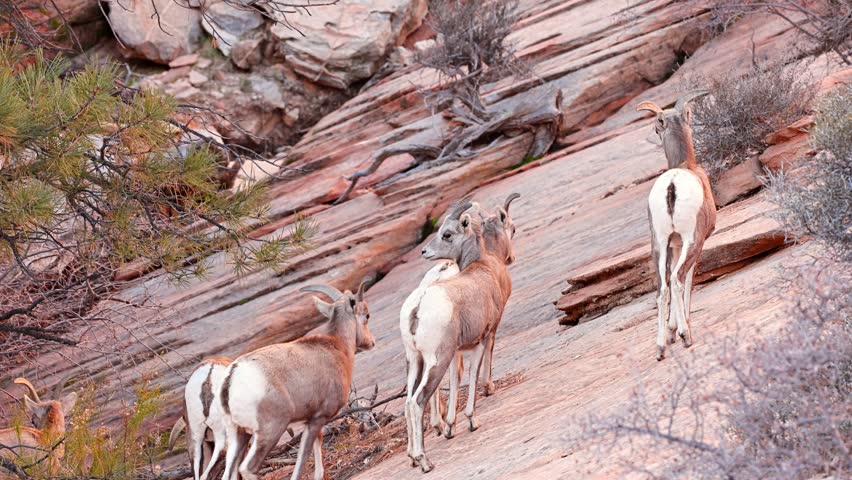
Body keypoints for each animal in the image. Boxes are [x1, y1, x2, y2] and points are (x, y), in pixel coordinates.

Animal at [219, 282, 376, 480]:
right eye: (367, 315)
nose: (371, 342)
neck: (337, 346)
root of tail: (233, 376)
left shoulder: (312, 419)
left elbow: (318, 442)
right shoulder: (318, 418)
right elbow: (303, 458)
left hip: (238, 436)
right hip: (270, 432)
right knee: (248, 468)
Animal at [403, 194, 518, 472]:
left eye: (446, 233)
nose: (424, 251)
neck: (484, 267)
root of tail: (417, 307)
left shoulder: (457, 351)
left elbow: (456, 382)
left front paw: (451, 428)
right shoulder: (484, 337)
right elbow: (475, 374)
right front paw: (472, 420)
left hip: (415, 362)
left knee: (408, 400)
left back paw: (415, 456)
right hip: (437, 360)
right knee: (418, 401)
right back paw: (425, 462)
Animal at [636, 91, 716, 361]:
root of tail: (672, 185)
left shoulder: (673, 245)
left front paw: (670, 332)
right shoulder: (695, 243)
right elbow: (689, 281)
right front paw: (680, 329)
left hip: (658, 244)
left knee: (662, 288)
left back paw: (661, 348)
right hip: (692, 240)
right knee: (678, 278)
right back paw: (686, 337)